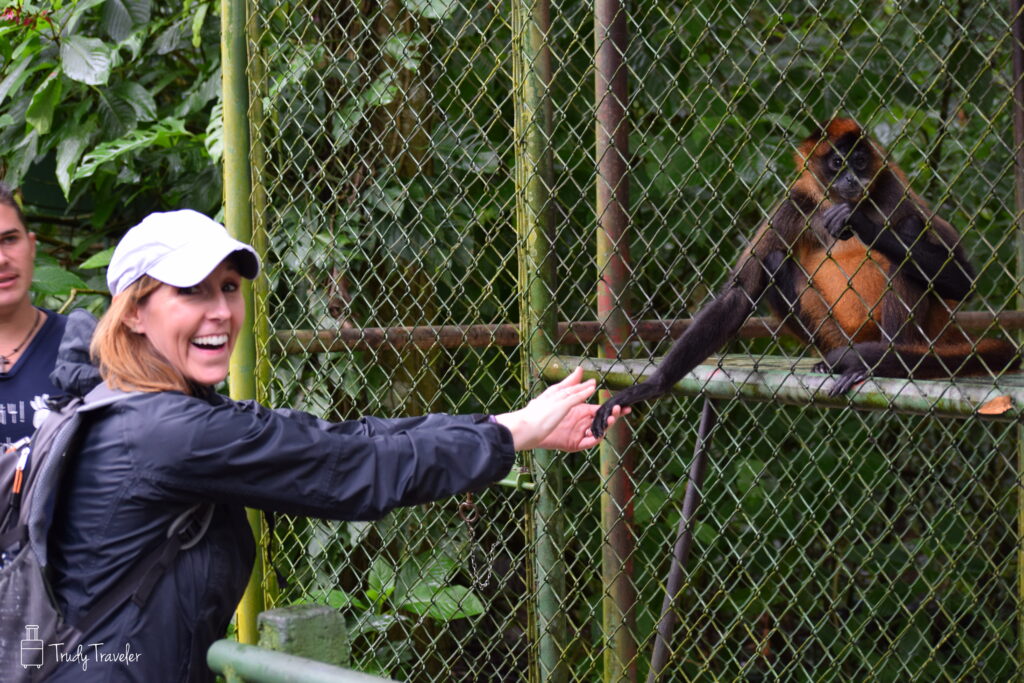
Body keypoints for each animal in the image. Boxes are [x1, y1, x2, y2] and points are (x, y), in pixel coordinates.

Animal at [589, 117, 1019, 438]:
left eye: (859, 160)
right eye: (836, 163)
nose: (851, 179)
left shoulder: (892, 187)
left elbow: (963, 280)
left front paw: (859, 222)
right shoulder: (795, 203)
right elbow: (739, 293)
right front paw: (649, 387)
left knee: (908, 236)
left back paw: (884, 359)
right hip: (830, 335)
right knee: (774, 259)